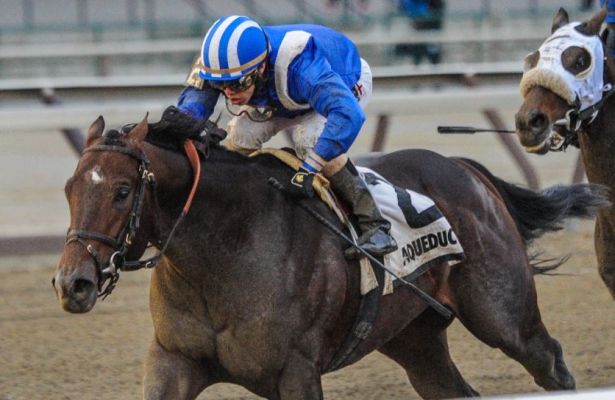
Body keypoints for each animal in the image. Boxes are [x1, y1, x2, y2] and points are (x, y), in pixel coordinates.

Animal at [54, 116, 612, 400]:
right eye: (70, 188)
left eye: (123, 191)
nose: (72, 283)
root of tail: (466, 169)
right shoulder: (173, 360)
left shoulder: (296, 372)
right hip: (414, 338)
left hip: (503, 315)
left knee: (550, 362)